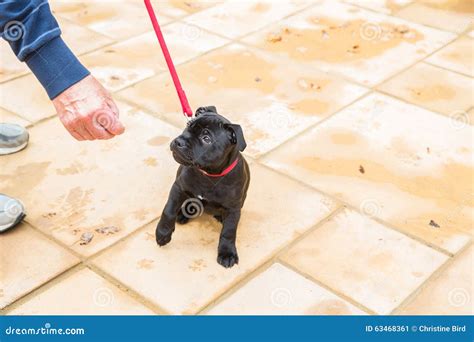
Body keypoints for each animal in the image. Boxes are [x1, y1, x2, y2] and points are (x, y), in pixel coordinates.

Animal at [156, 105, 252, 268]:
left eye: (206, 139)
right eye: (188, 125)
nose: (179, 141)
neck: (209, 175)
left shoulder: (233, 209)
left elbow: (229, 232)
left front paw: (227, 253)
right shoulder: (178, 188)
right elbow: (168, 210)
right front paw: (162, 233)